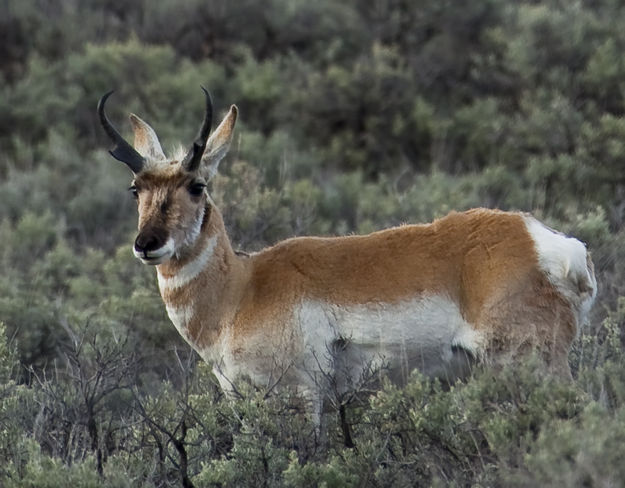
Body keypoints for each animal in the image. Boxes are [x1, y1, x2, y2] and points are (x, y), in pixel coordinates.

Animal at [97, 90, 596, 416]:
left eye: (197, 186)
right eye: (136, 189)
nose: (147, 244)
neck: (242, 287)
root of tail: (543, 240)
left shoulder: (300, 396)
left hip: (532, 363)